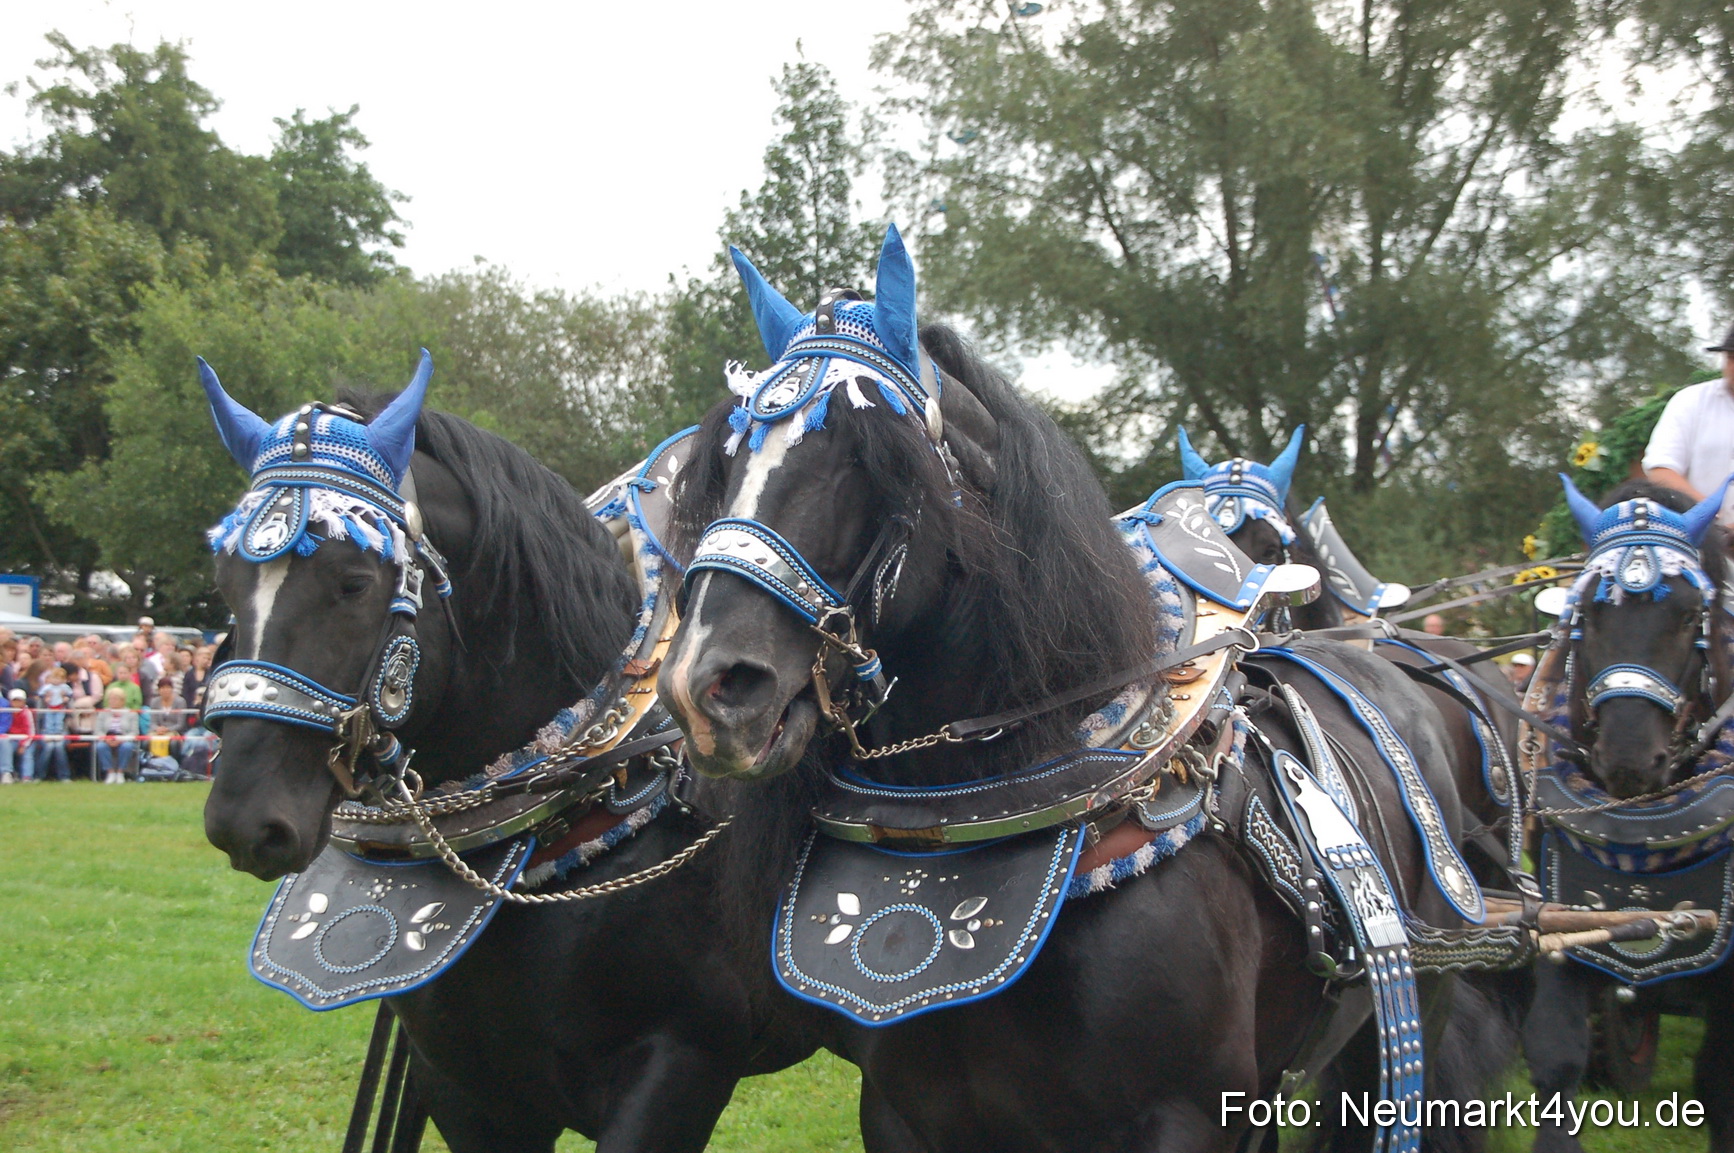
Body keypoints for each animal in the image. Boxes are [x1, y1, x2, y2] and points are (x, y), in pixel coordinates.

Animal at [658, 227, 1510, 1153]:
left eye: (871, 455)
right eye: (728, 459)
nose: (708, 686)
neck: (967, 821)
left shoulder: (1188, 1113)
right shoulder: (901, 1111)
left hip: (1415, 1003)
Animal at [1519, 477, 1734, 1153]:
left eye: (1691, 616)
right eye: (1586, 616)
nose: (1630, 758)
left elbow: (1719, 1081)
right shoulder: (1565, 911)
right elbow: (1555, 1056)